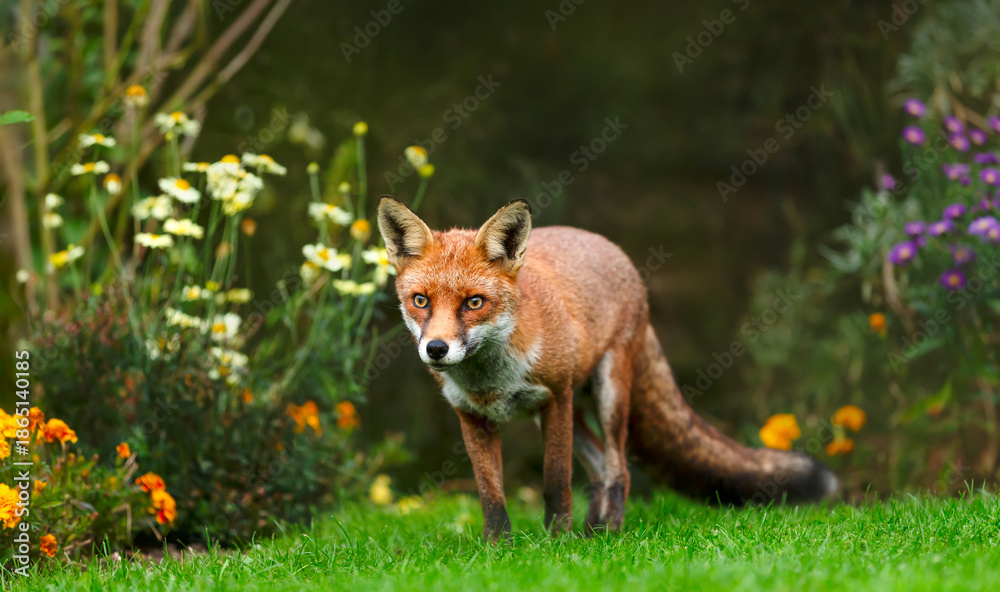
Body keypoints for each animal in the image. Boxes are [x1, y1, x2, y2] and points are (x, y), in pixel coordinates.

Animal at [376, 196, 838, 540]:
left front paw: (555, 546)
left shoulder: (554, 397)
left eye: (474, 302)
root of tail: (612, 249)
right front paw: (497, 551)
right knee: (600, 468)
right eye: (421, 301)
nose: (436, 349)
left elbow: (555, 484)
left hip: (607, 394)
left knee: (619, 468)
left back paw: (606, 536)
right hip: (577, 412)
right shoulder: (471, 416)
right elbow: (491, 496)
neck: (492, 380)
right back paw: (592, 533)